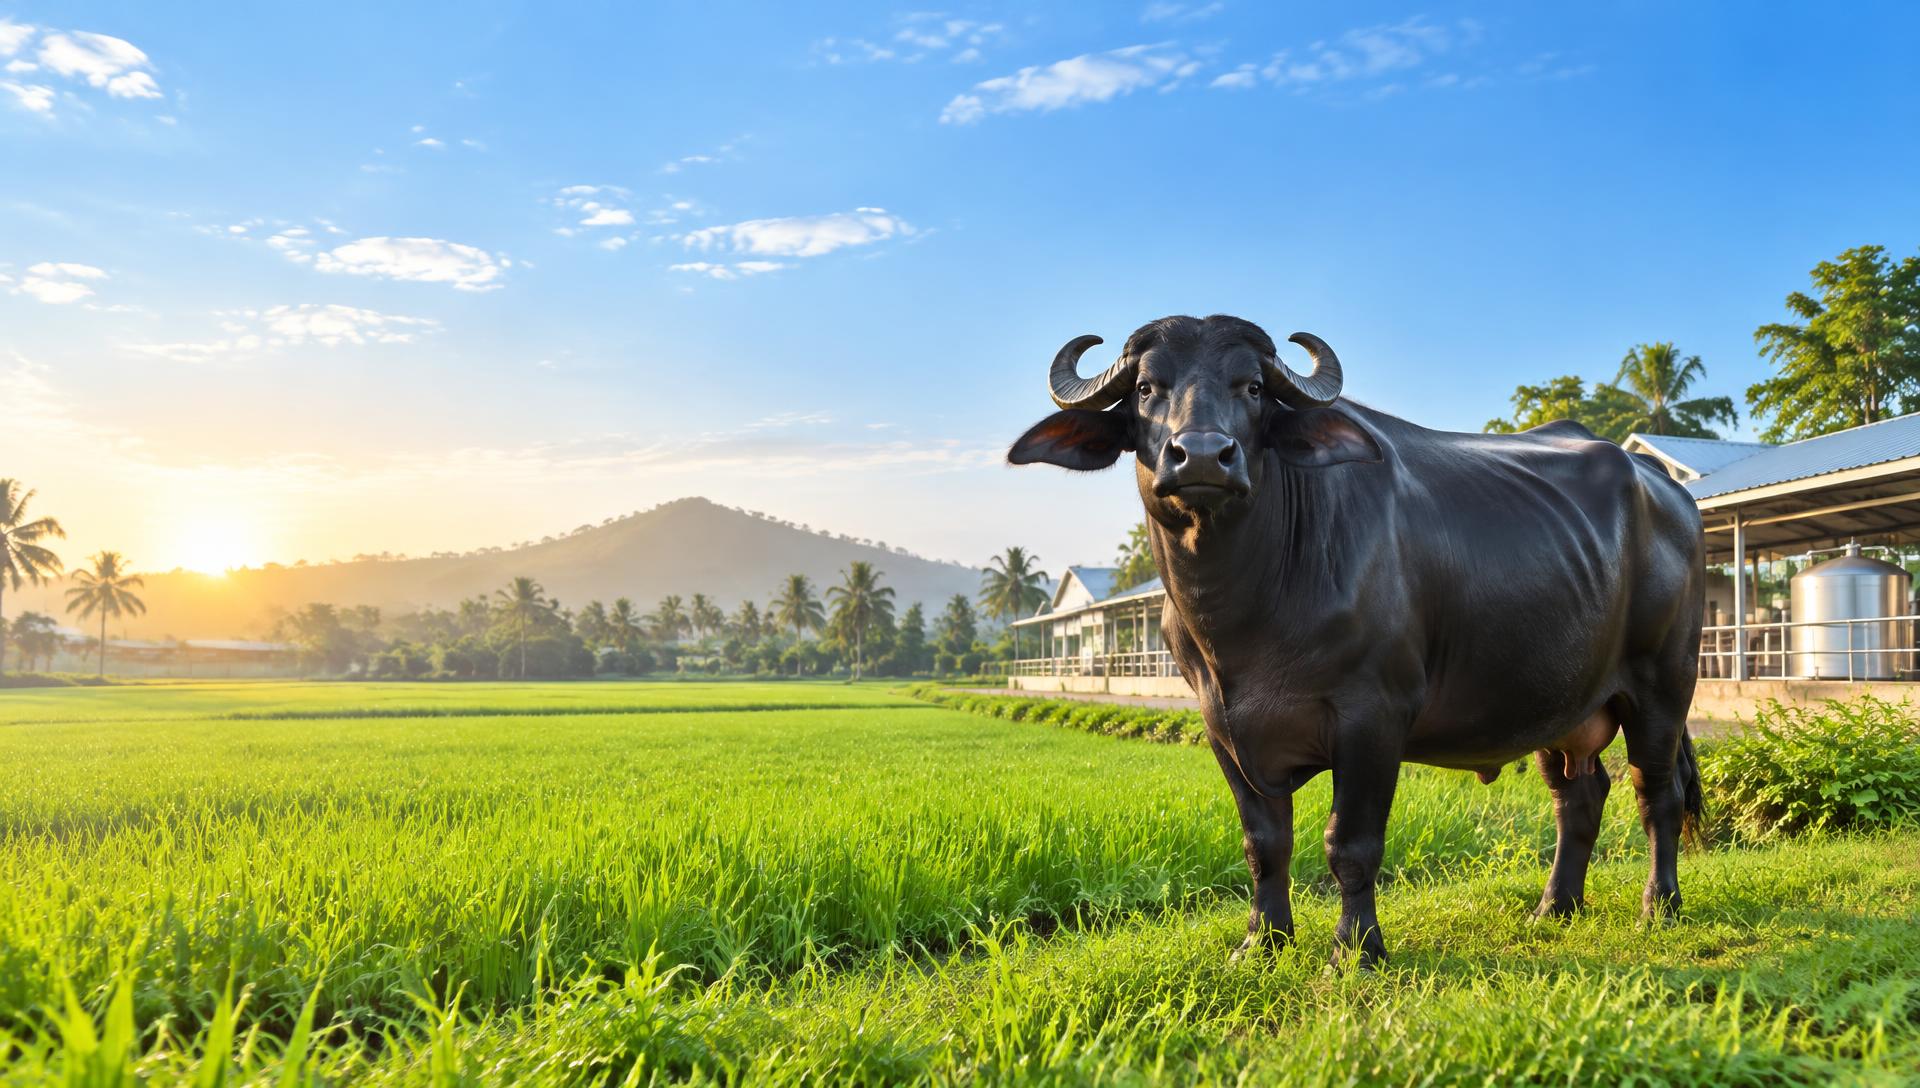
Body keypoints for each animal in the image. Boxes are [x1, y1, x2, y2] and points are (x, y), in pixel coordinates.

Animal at [1010, 314, 1704, 966]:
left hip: (1663, 685)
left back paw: (1659, 907)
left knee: (1656, 794)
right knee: (1578, 796)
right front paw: (1262, 941)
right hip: (1560, 703)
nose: (1203, 455)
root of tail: (1664, 485)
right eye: (1147, 388)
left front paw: (1356, 948)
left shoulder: (1372, 717)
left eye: (1253, 387)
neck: (1247, 611)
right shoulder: (1220, 726)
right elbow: (1264, 844)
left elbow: (1350, 843)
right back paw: (1554, 907)